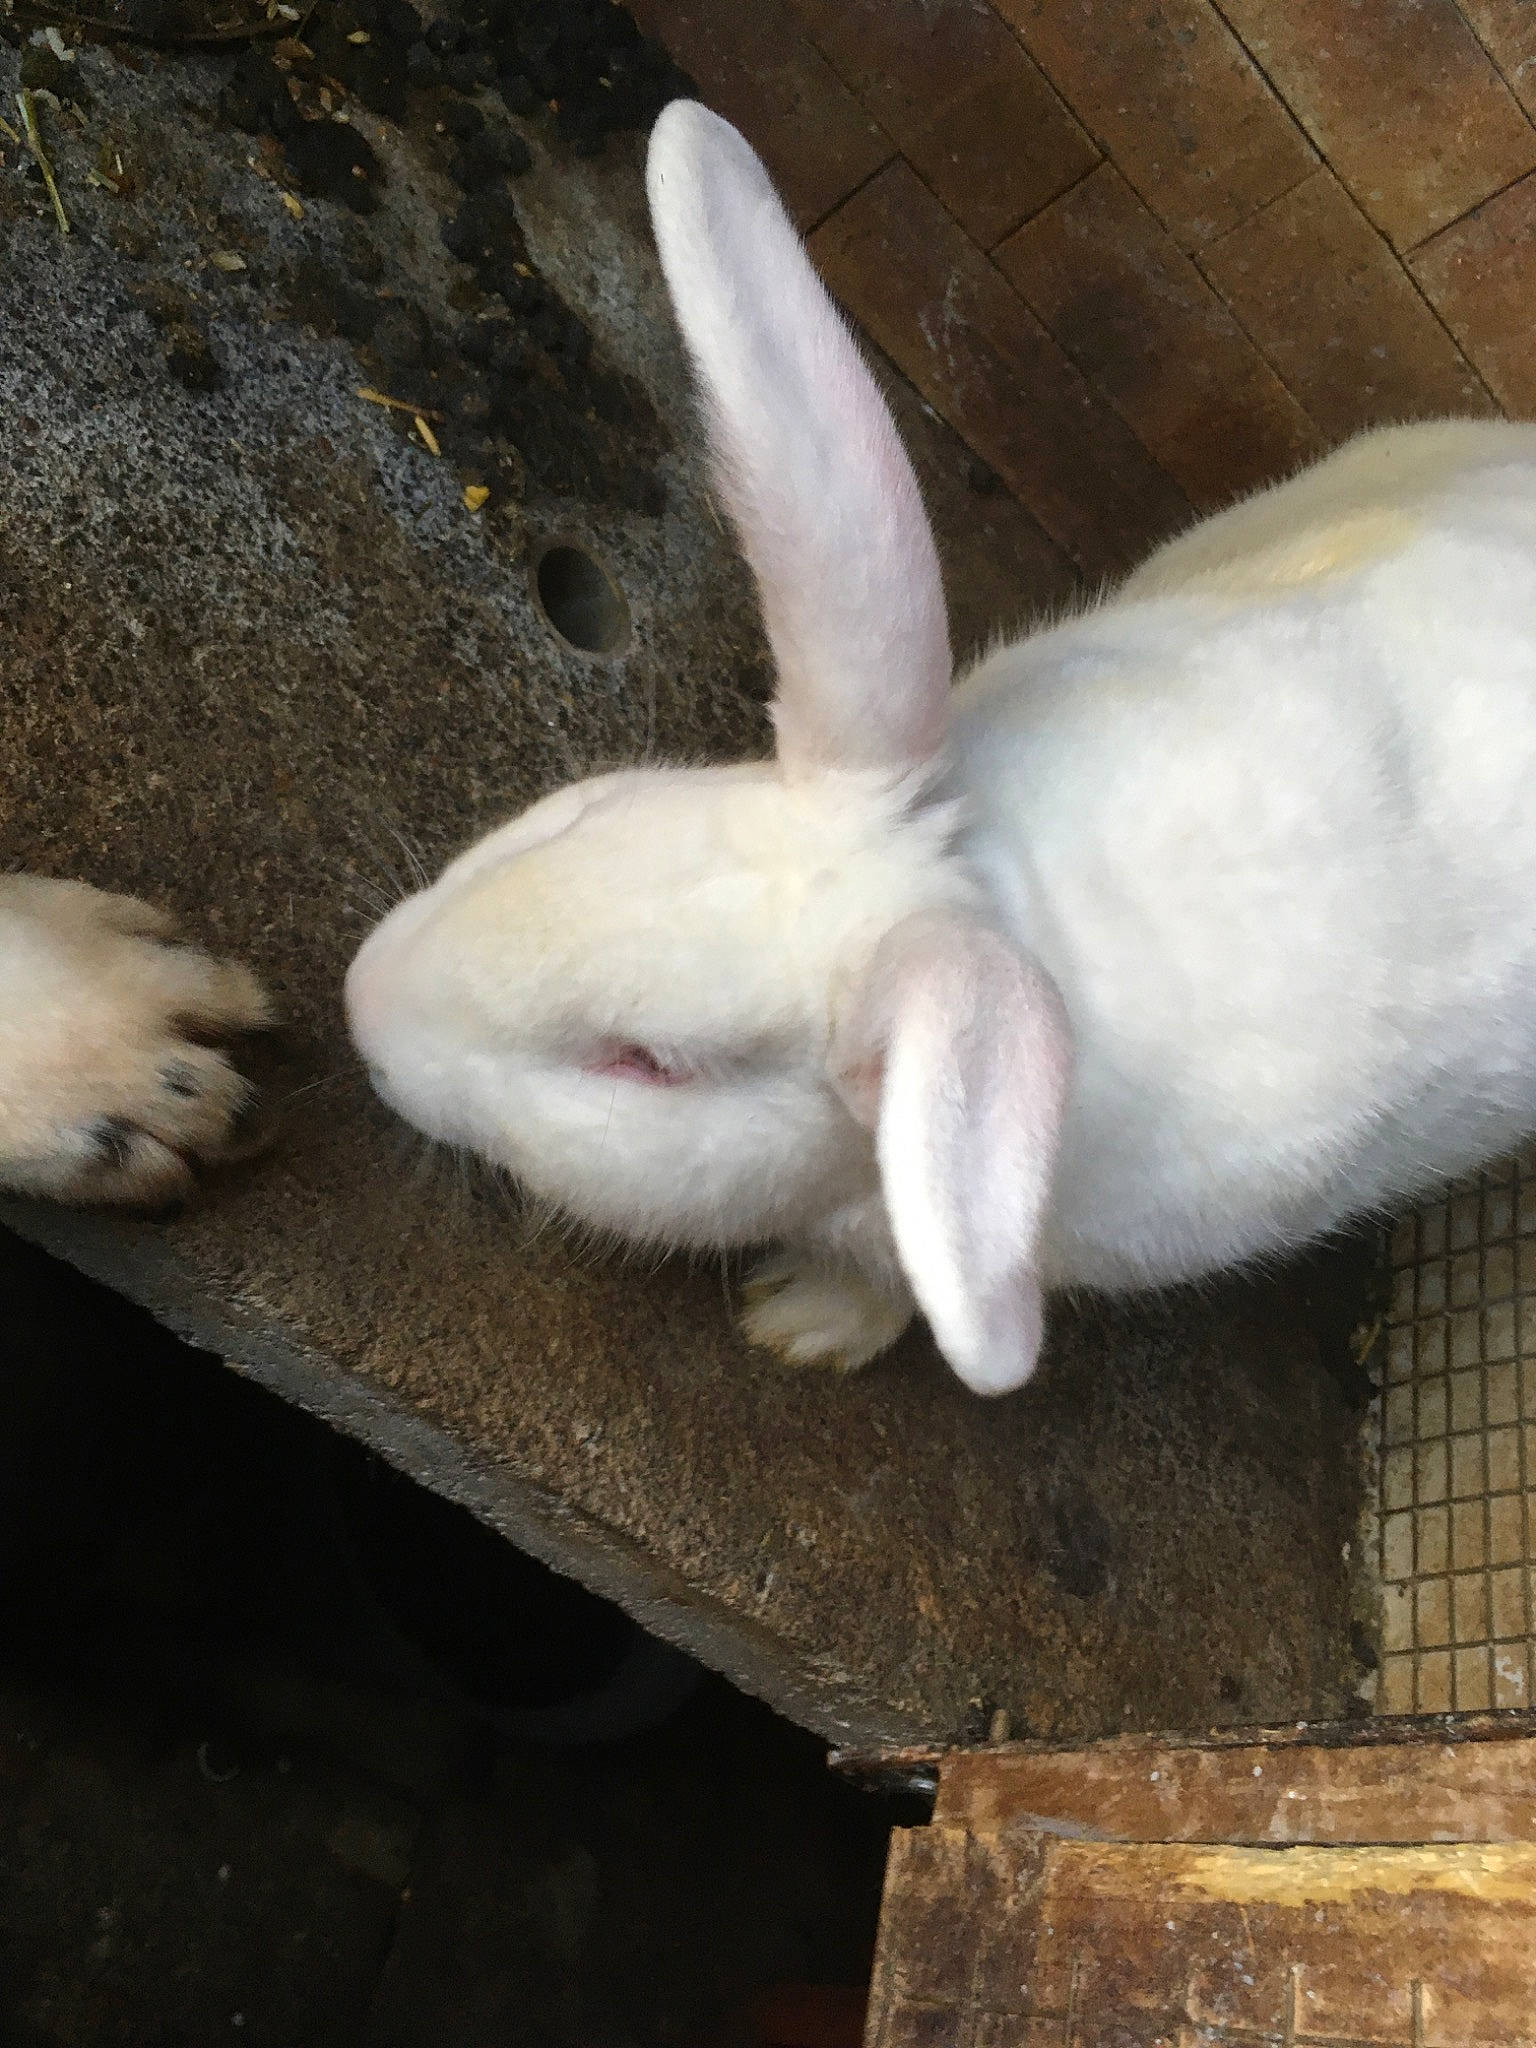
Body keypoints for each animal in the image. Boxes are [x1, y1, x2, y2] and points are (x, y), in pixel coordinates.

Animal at [345, 99, 1536, 1398]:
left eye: (645, 1062)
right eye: (588, 810)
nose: (363, 1007)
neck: (1001, 898)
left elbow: (897, 1286)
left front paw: (802, 1321)